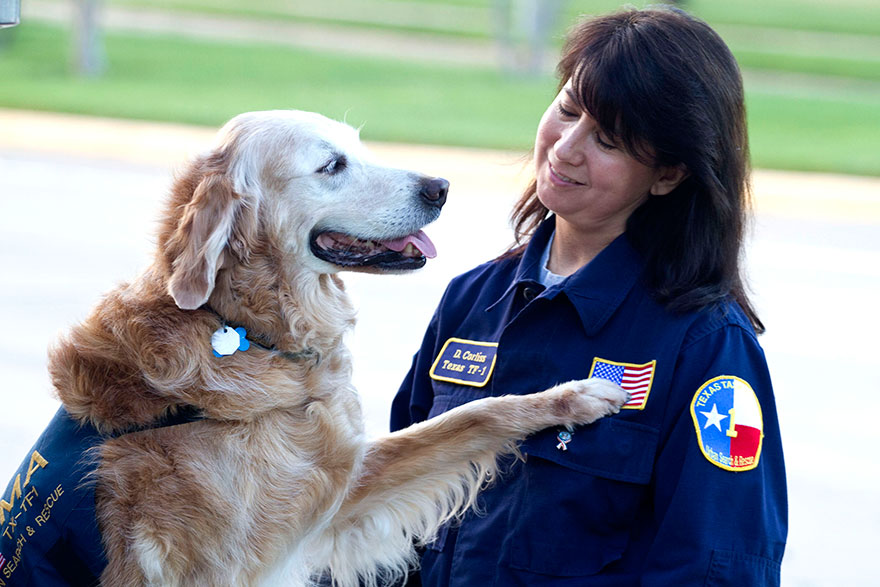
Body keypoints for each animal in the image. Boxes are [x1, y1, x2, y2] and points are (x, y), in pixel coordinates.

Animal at [10, 111, 624, 587]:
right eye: (332, 166)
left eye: (360, 148)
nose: (441, 186)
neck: (244, 329)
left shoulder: (336, 487)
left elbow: (474, 415)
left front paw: (571, 398)